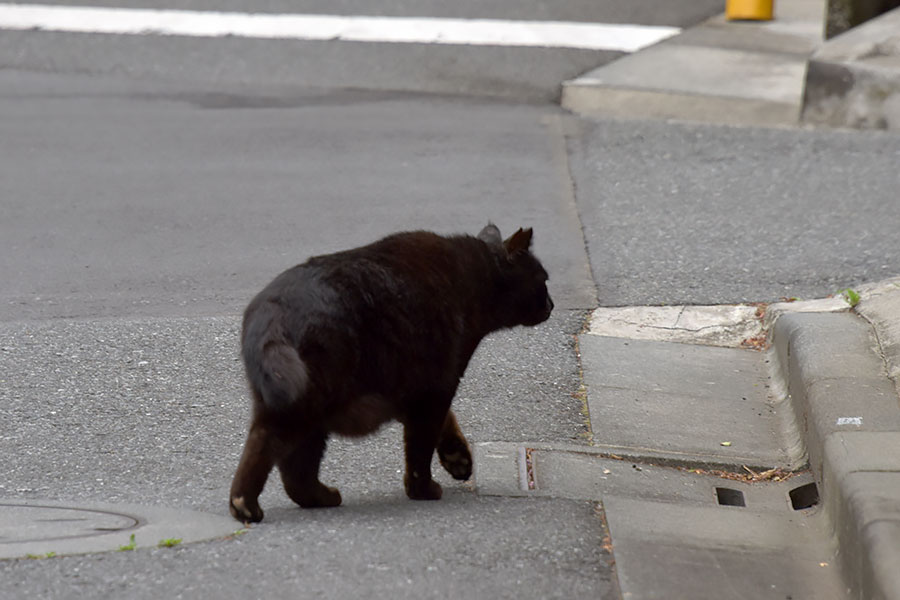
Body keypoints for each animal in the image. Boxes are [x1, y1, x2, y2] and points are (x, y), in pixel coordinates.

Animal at [229, 223, 552, 524]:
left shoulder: (413, 388)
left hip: (293, 404)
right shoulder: (436, 386)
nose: (552, 304)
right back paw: (247, 505)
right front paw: (423, 489)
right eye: (545, 280)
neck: (473, 282)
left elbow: (446, 422)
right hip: (310, 400)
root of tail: (272, 314)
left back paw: (315, 497)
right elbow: (420, 448)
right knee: (277, 451)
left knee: (288, 467)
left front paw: (457, 457)